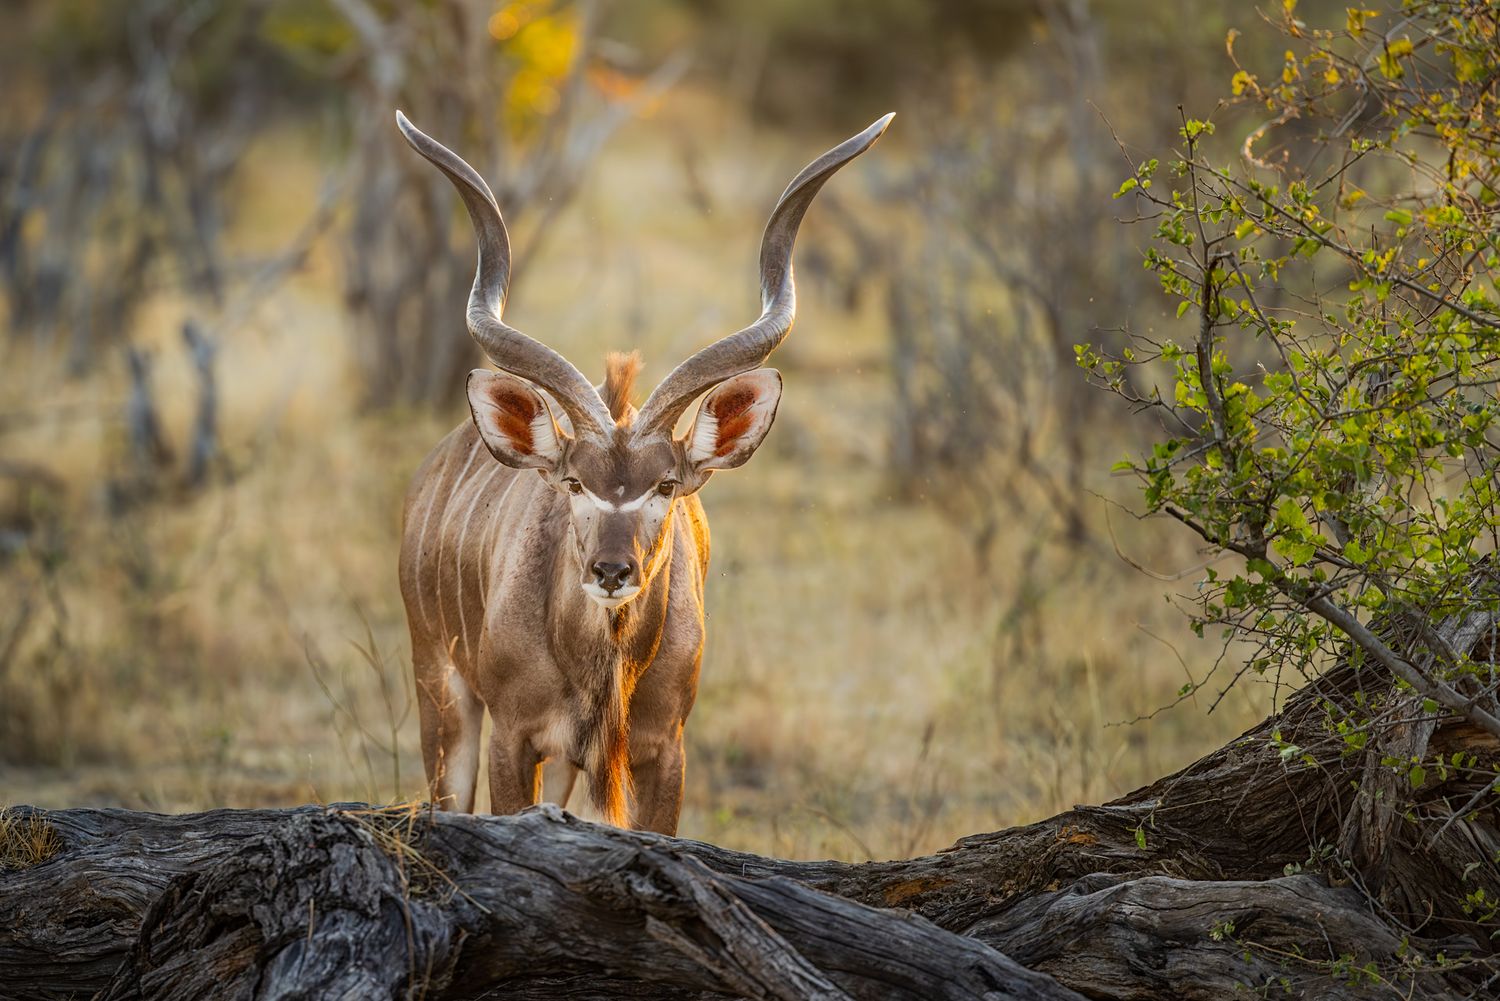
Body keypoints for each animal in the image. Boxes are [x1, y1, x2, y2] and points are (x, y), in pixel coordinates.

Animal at [396, 110, 892, 834]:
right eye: (574, 483)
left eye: (665, 485)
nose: (611, 571)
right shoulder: (512, 738)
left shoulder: (662, 750)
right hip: (439, 682)